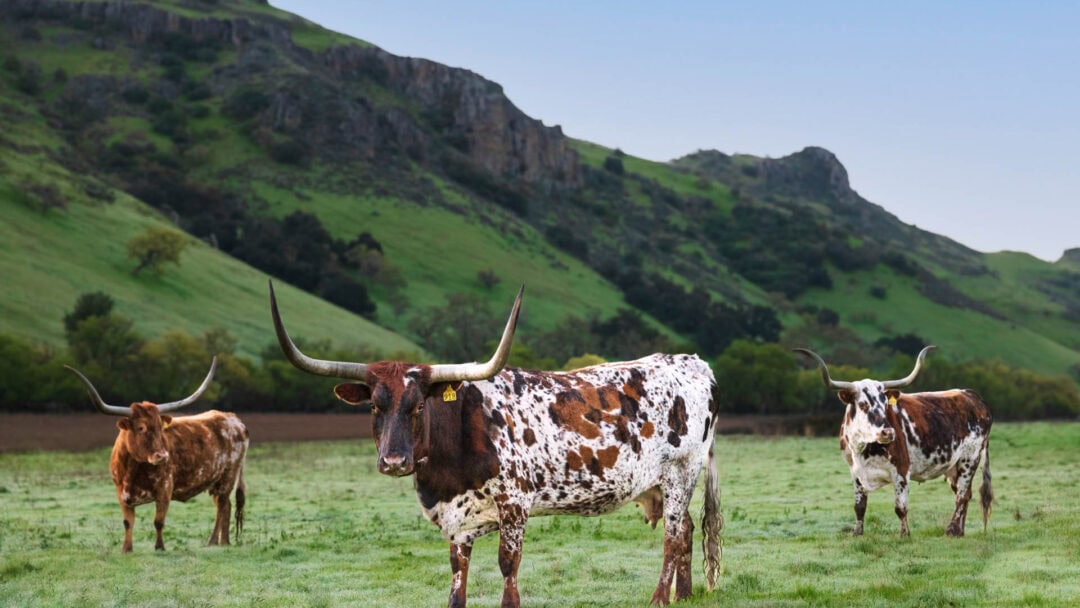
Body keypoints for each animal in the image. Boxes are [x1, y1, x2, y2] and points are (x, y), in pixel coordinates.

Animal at [65, 358, 248, 552]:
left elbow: (158, 521)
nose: (162, 456)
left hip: (228, 477)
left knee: (222, 506)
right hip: (216, 482)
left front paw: (159, 547)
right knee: (226, 506)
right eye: (141, 427)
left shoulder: (164, 489)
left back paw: (213, 541)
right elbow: (127, 522)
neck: (132, 470)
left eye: (160, 428)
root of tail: (234, 419)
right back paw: (224, 542)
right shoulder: (121, 494)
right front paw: (126, 549)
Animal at [270, 282, 725, 604]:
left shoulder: (515, 506)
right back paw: (684, 597)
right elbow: (458, 577)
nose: (394, 461)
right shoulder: (457, 521)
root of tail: (691, 361)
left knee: (673, 536)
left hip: (681, 472)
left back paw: (660, 599)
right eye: (374, 407)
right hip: (664, 484)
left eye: (418, 406)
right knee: (686, 529)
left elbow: (508, 568)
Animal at [794, 347, 993, 537]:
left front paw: (905, 535)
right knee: (964, 494)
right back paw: (959, 531)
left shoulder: (902, 469)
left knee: (961, 495)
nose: (888, 432)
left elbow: (900, 507)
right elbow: (859, 507)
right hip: (954, 466)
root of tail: (971, 395)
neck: (862, 448)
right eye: (863, 404)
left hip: (969, 460)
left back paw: (951, 530)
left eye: (885, 404)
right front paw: (857, 533)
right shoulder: (855, 472)